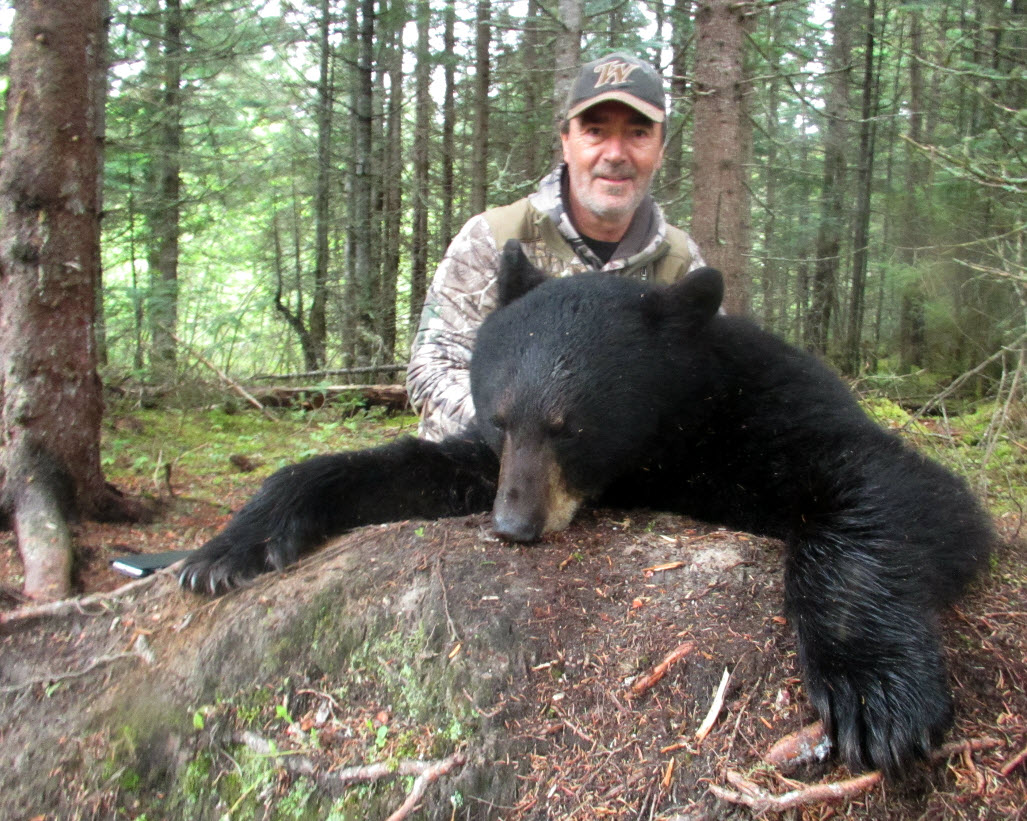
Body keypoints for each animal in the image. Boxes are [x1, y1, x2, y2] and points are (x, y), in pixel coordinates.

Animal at [180, 240, 994, 778]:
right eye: (501, 417)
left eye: (570, 426)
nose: (513, 525)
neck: (662, 440)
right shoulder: (487, 462)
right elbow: (404, 467)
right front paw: (228, 547)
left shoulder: (766, 412)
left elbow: (894, 485)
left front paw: (874, 690)